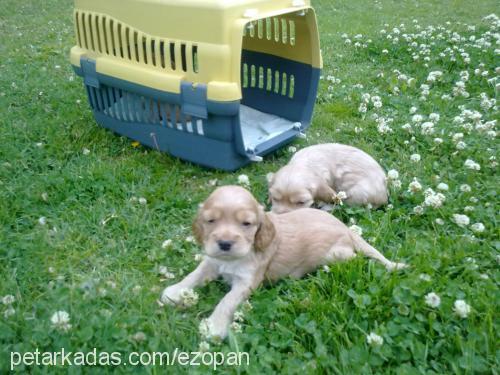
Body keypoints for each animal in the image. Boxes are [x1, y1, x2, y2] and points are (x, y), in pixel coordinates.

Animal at [161, 187, 406, 342]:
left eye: (246, 223)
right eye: (211, 220)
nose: (224, 243)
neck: (232, 260)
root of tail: (346, 228)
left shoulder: (247, 282)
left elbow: (226, 301)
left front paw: (214, 326)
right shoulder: (212, 261)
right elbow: (194, 274)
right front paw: (174, 292)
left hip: (334, 255)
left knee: (355, 259)